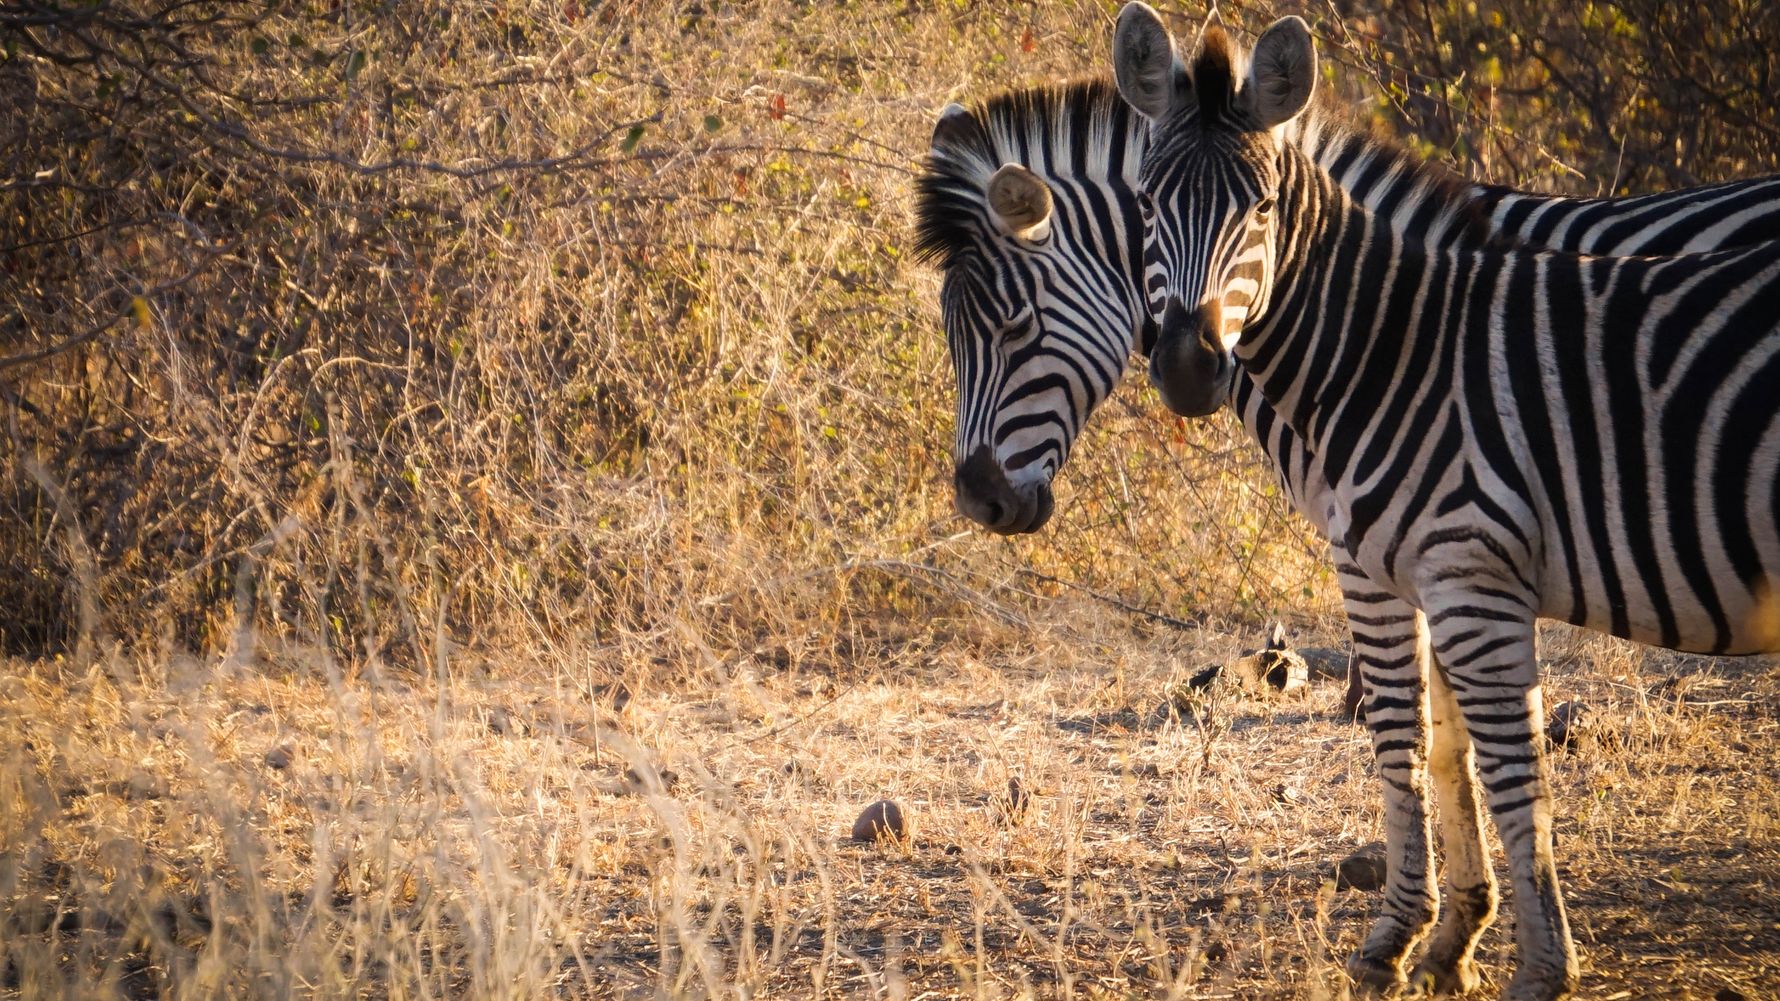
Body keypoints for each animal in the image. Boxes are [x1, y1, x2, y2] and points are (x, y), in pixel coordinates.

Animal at [1112, 4, 1780, 998]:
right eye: (1149, 204)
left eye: (1263, 209)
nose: (1189, 367)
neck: (1391, 350)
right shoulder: (1438, 578)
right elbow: (1448, 746)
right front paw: (1448, 939)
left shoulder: (1461, 574)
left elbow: (1486, 763)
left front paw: (1524, 967)